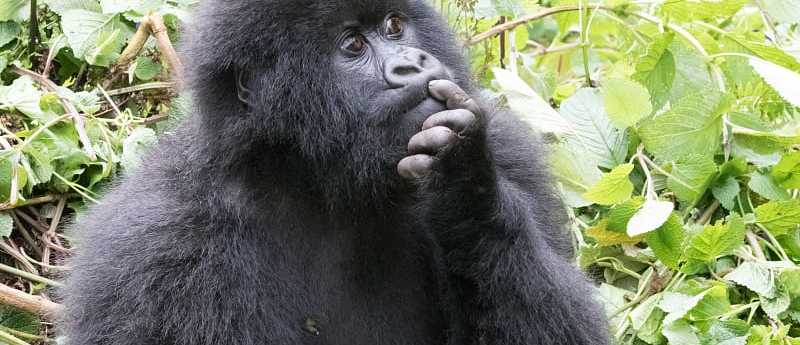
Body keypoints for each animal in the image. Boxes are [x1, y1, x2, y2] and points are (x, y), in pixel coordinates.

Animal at [59, 0, 608, 344]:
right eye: (352, 46)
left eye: (394, 25)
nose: (413, 63)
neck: (314, 181)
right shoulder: (155, 244)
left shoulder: (512, 152)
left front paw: (468, 195)